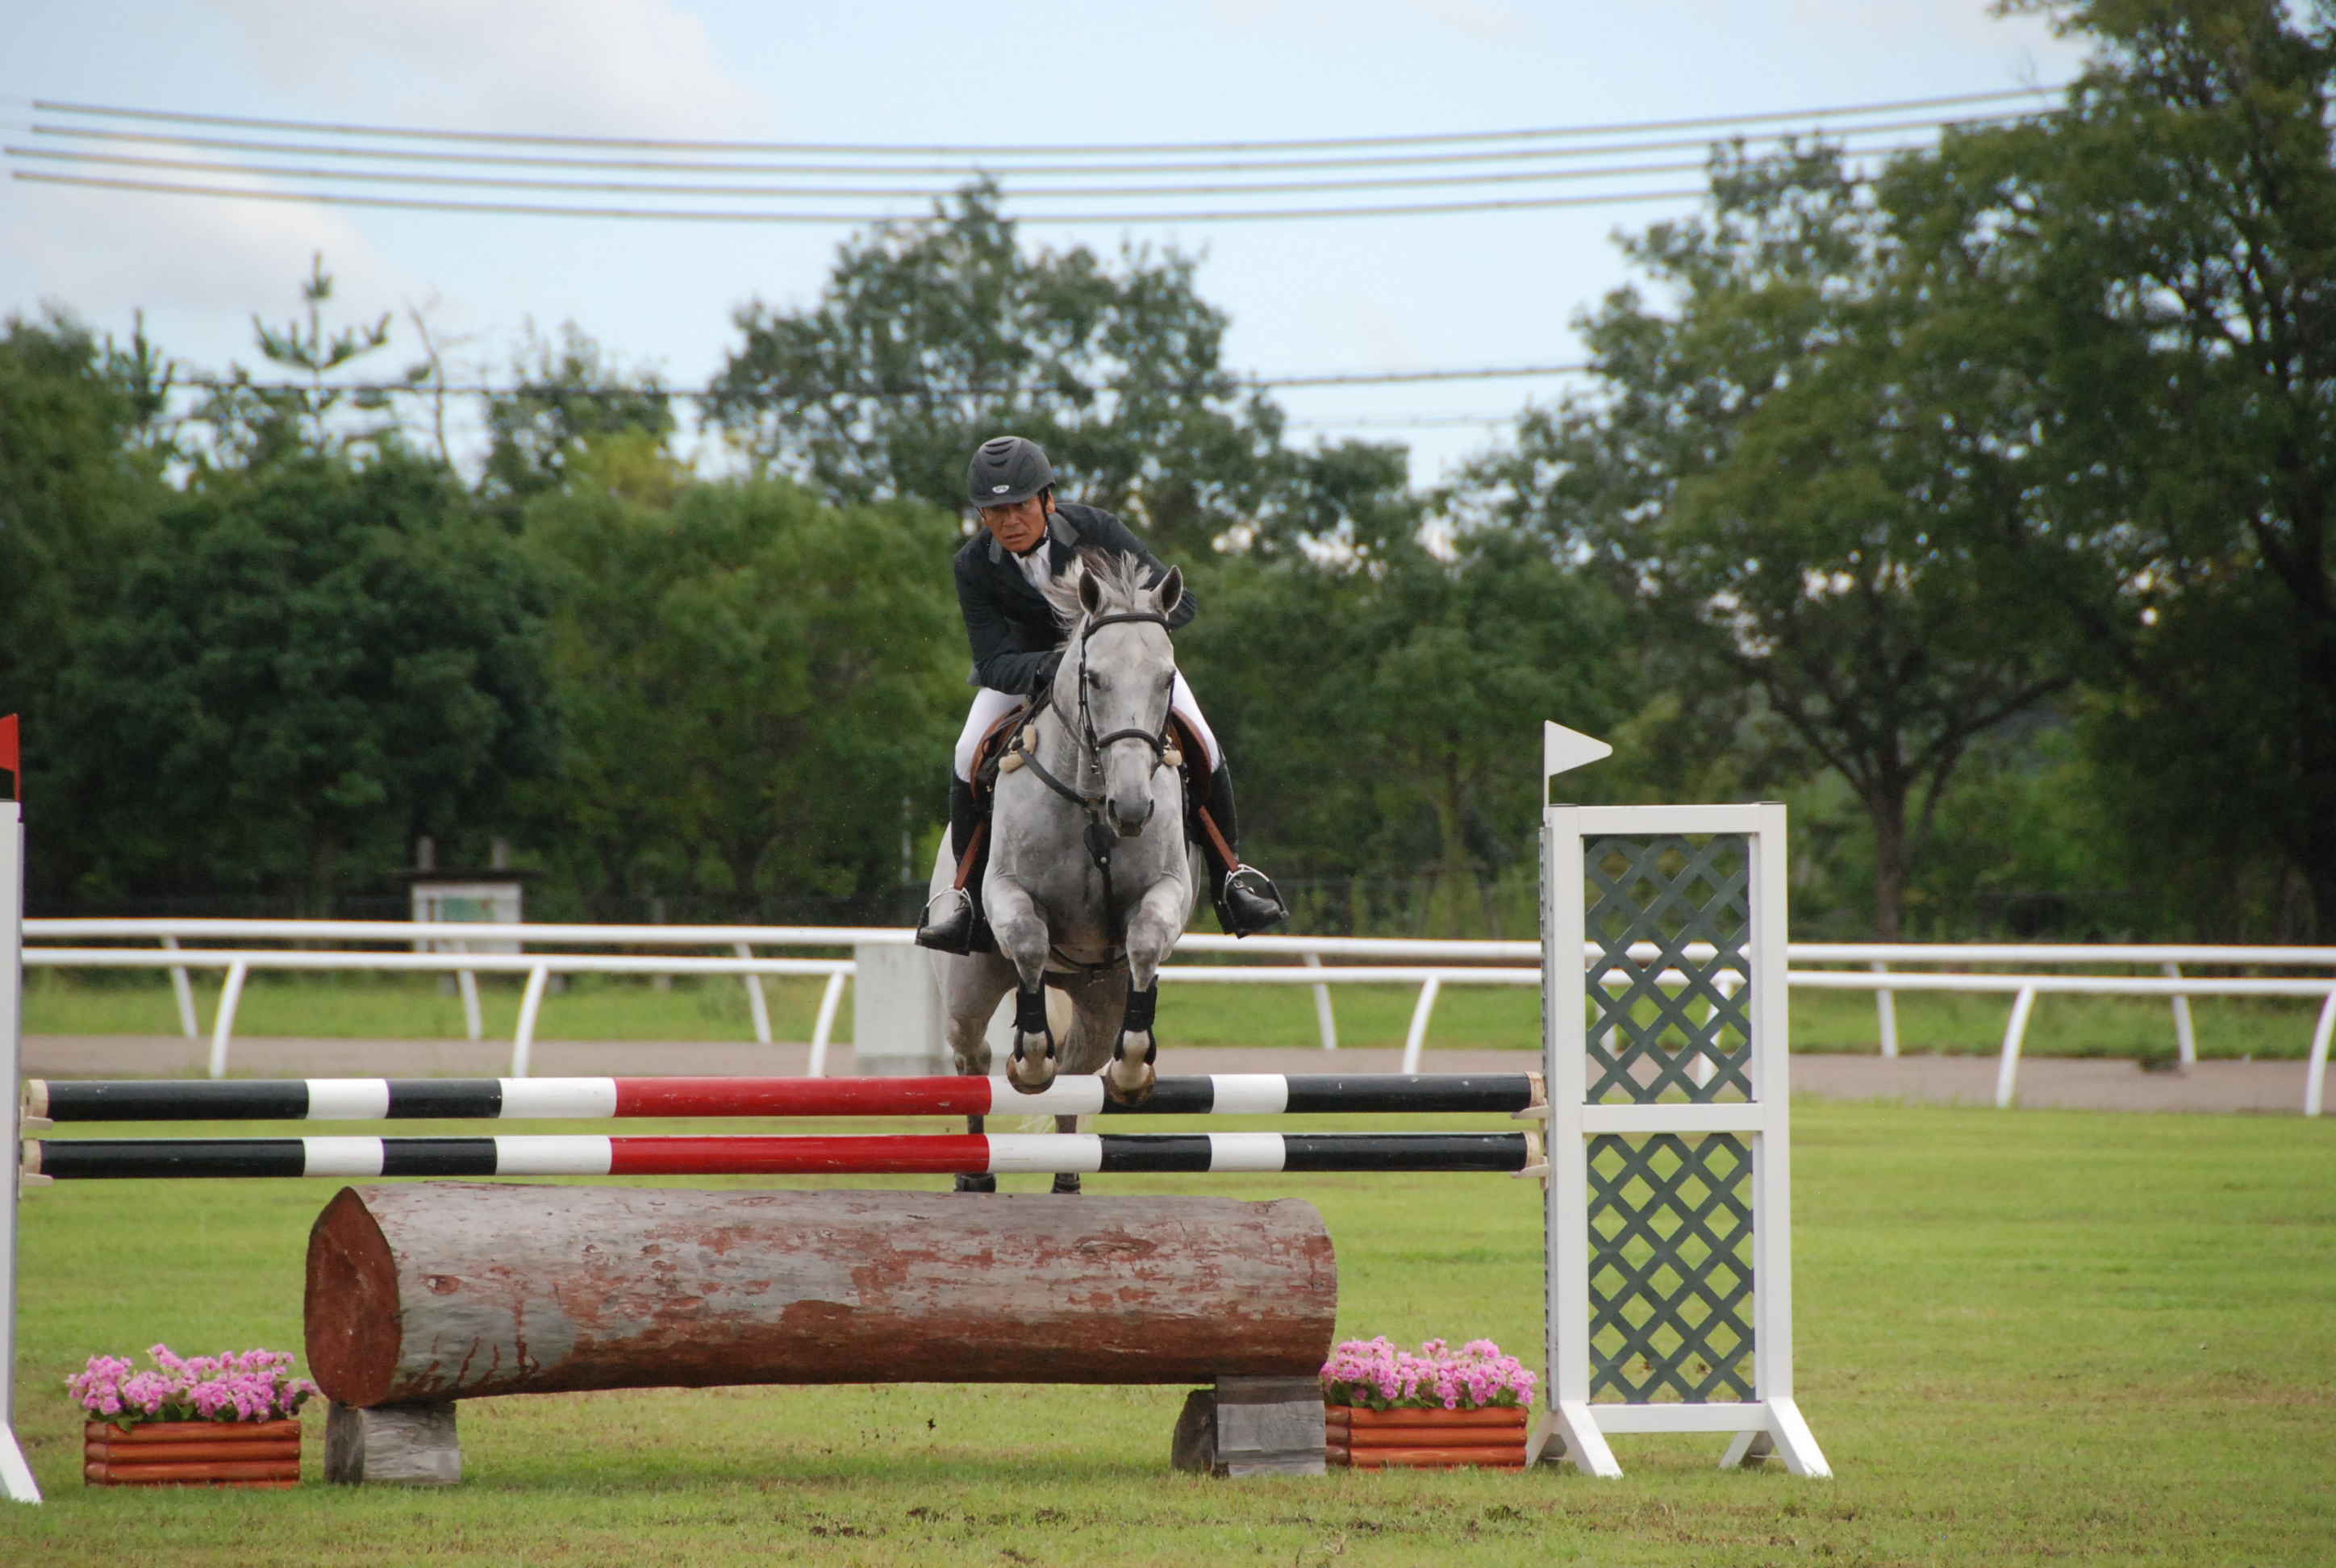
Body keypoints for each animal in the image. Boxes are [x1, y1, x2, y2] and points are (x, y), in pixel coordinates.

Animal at [920, 548, 1195, 1191]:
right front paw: (1030, 1059)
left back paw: (1069, 1174)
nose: (1132, 809)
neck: (1092, 796)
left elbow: (1145, 940)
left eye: (1167, 678)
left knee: (1078, 1070)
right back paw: (975, 1174)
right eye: (1093, 679)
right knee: (972, 1060)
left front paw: (1133, 1069)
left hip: (1101, 996)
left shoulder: (1167, 891)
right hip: (967, 989)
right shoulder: (1005, 892)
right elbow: (1029, 941)